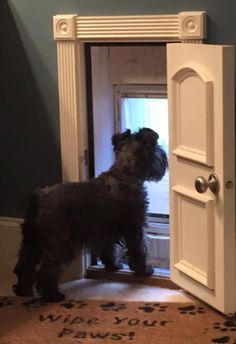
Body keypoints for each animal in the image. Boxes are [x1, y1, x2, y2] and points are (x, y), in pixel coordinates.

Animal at [12, 127, 168, 300]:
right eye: (156, 148)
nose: (163, 157)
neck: (124, 172)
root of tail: (38, 197)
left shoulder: (106, 229)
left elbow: (109, 249)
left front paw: (113, 266)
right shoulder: (134, 226)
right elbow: (139, 248)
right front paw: (144, 270)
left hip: (31, 240)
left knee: (25, 264)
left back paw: (23, 290)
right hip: (59, 242)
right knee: (48, 267)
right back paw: (52, 295)